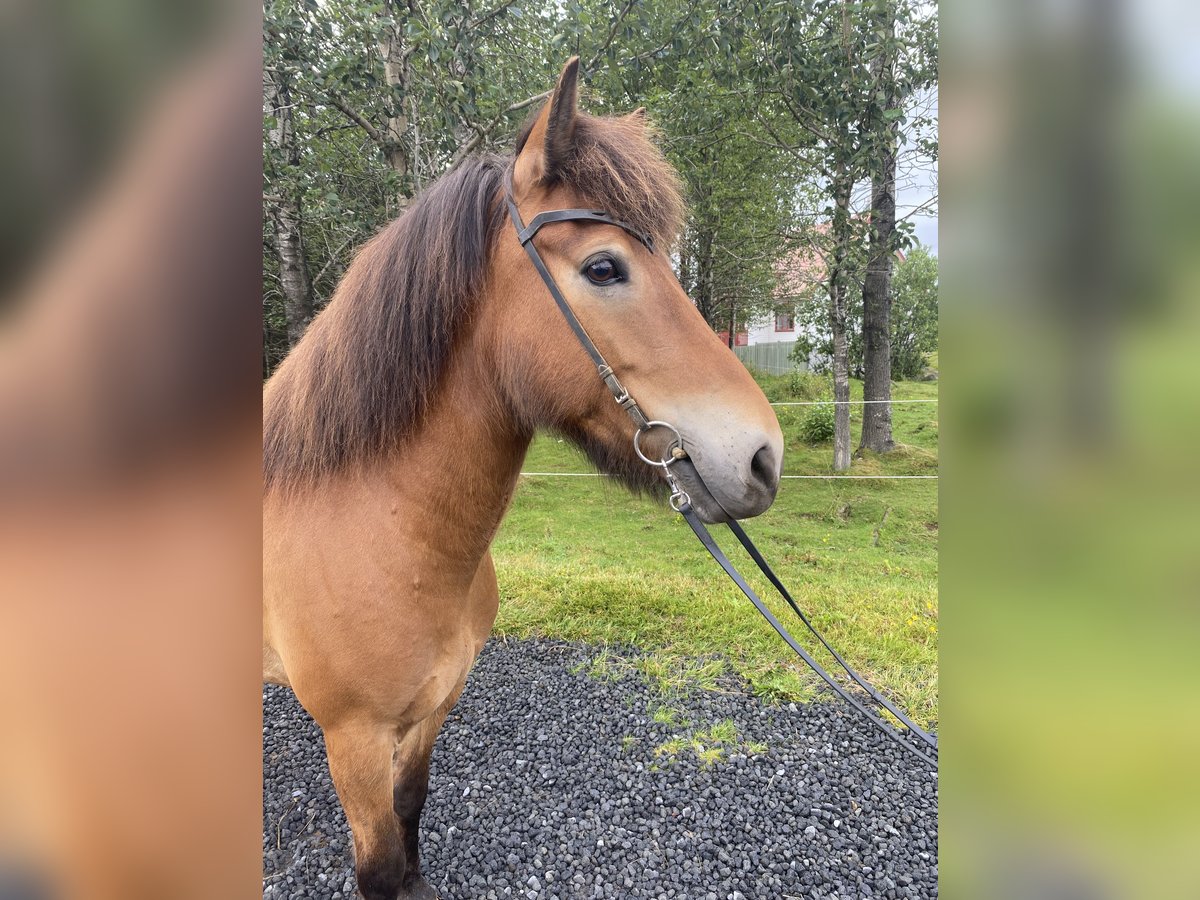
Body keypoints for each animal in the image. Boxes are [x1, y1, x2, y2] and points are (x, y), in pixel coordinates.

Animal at [262, 58, 782, 900]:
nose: (764, 456)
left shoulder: (433, 711)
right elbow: (378, 866)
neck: (383, 536)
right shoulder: (354, 742)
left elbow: (413, 808)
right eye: (604, 267)